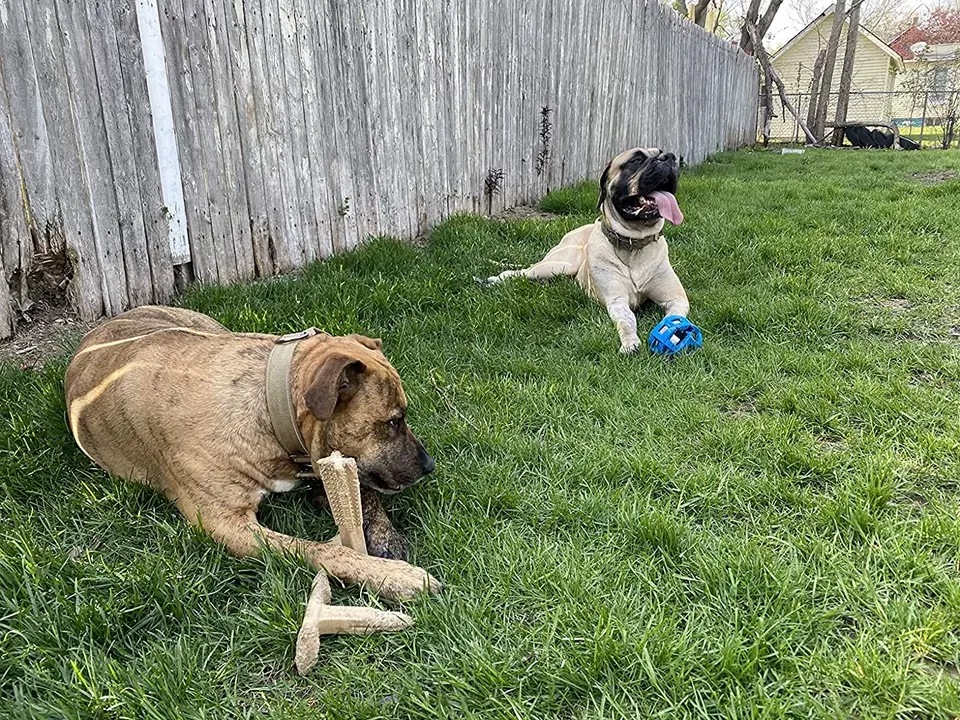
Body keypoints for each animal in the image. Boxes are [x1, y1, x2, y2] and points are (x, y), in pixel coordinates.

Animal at [63, 304, 442, 600]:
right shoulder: (228, 525)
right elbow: (322, 550)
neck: (272, 408)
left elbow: (362, 493)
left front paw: (384, 534)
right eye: (394, 421)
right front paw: (393, 575)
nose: (429, 465)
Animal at [488, 147, 688, 354]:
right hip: (558, 265)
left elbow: (674, 318)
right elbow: (627, 322)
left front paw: (673, 332)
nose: (669, 157)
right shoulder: (617, 301)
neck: (634, 244)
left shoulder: (677, 298)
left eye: (662, 152)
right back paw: (497, 279)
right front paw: (630, 343)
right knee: (522, 271)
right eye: (636, 160)